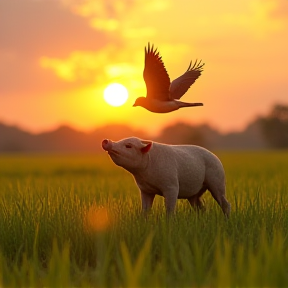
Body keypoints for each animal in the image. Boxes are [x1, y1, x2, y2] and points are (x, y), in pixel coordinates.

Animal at [101, 137, 230, 216]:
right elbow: (145, 210)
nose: (106, 140)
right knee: (200, 207)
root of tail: (217, 158)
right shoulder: (145, 190)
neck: (143, 174)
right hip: (194, 194)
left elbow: (169, 209)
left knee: (225, 203)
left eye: (128, 146)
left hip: (217, 180)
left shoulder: (171, 185)